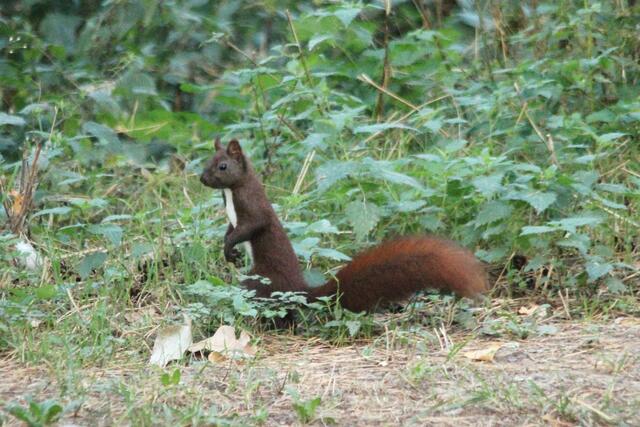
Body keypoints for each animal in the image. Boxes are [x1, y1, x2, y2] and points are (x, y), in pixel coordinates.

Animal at [200, 138, 488, 312]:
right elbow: (230, 230)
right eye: (206, 162)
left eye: (222, 166)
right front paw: (229, 252)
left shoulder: (254, 209)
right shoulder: (233, 218)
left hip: (260, 279)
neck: (231, 194)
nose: (201, 179)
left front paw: (229, 248)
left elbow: (250, 227)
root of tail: (300, 291)